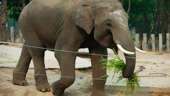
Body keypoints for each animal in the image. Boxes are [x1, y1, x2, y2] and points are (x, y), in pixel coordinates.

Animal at [12, 0, 144, 95]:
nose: (123, 71)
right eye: (108, 23)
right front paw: (55, 91)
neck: (94, 4)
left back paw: (20, 83)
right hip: (27, 23)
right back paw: (44, 89)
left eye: (128, 20)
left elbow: (99, 55)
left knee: (27, 49)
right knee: (37, 51)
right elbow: (63, 52)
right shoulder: (71, 26)